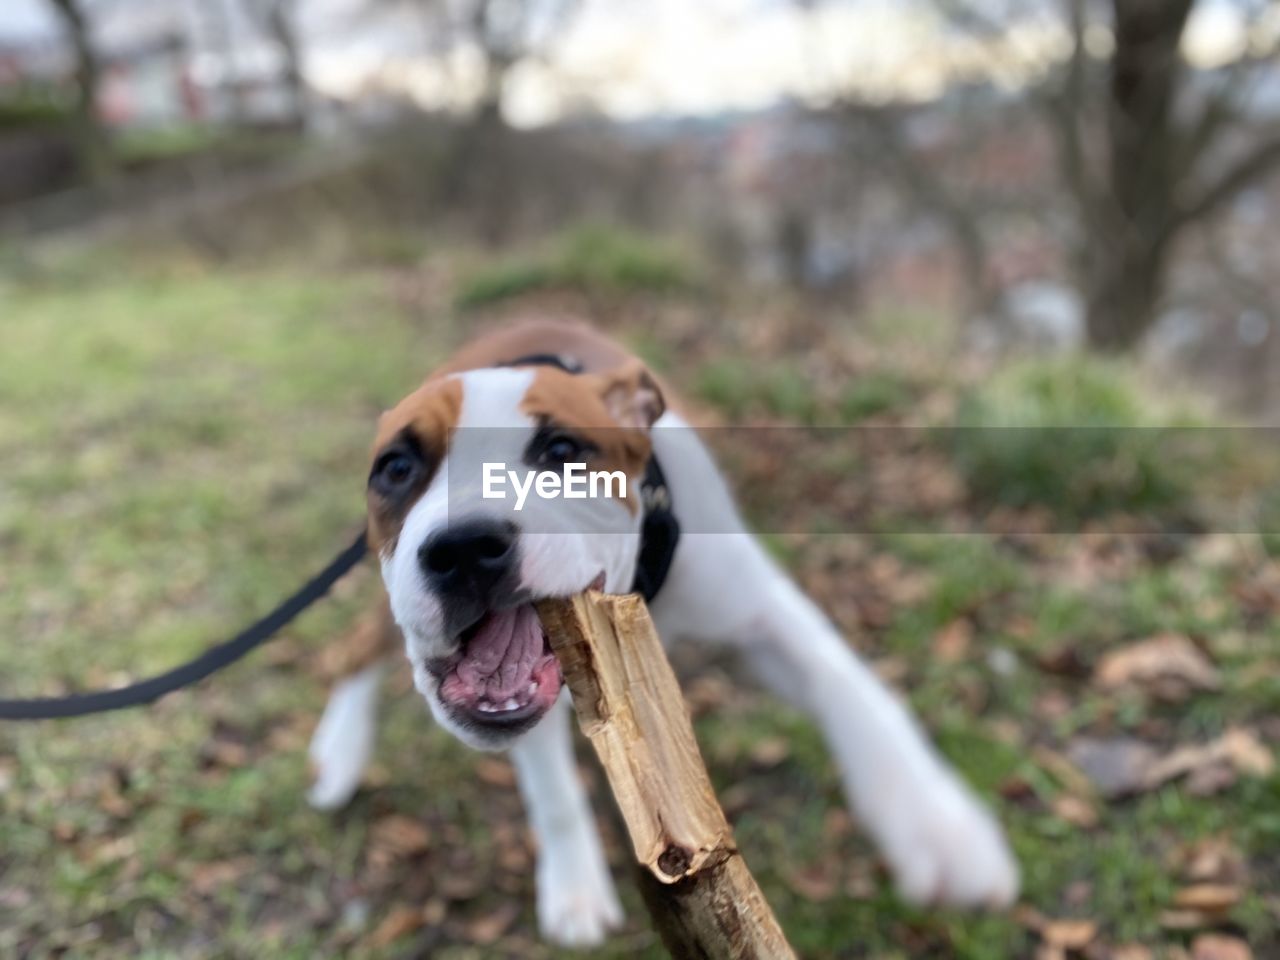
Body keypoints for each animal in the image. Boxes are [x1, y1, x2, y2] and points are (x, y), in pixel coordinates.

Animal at [304, 321, 1013, 947]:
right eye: (397, 467)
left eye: (562, 452)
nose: (464, 548)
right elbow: (551, 787)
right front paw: (575, 886)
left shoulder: (760, 612)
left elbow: (854, 689)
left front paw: (938, 827)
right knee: (353, 646)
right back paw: (340, 751)